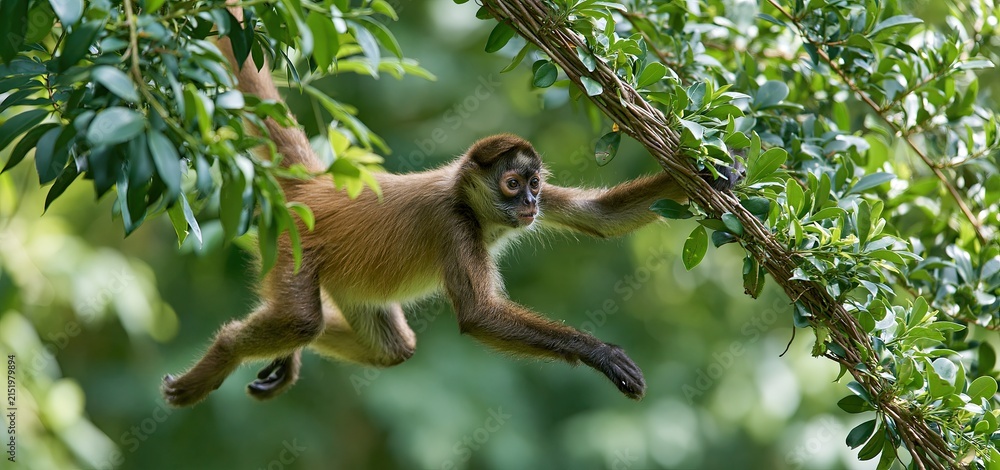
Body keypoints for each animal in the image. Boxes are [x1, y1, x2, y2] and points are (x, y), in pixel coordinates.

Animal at [161, 7, 743, 407]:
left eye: (534, 184)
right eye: (511, 183)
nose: (529, 202)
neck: (472, 204)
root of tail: (322, 188)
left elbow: (600, 218)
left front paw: (717, 175)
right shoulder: (453, 223)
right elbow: (479, 316)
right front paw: (601, 354)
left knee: (390, 346)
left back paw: (288, 355)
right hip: (295, 246)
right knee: (304, 318)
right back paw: (225, 352)